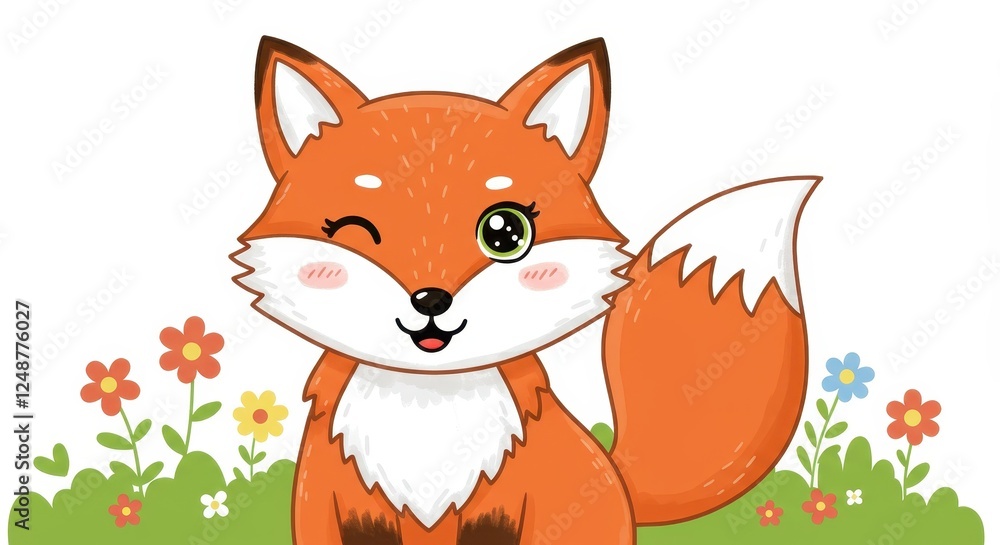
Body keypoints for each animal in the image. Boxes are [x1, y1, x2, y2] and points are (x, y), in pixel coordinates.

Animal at [232, 35, 818, 545]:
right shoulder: (330, 503)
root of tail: (621, 482)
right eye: (354, 232)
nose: (431, 300)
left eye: (505, 232)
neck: (428, 407)